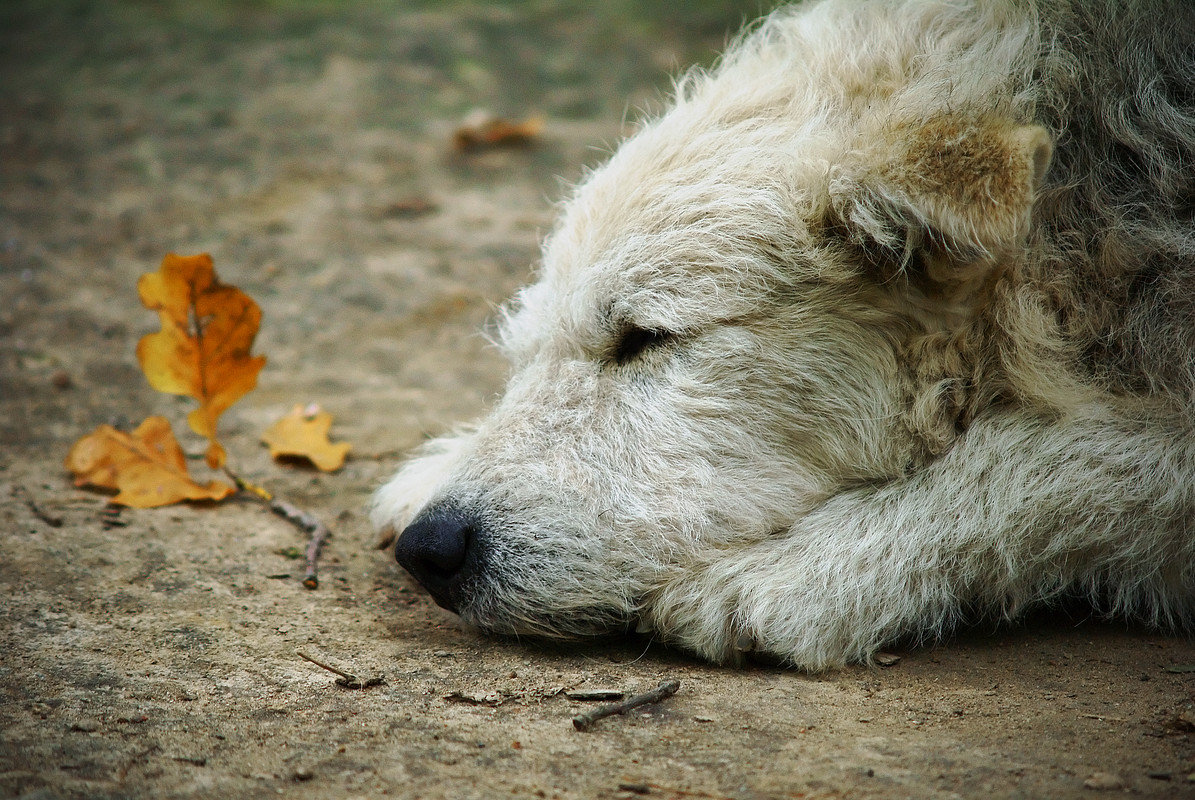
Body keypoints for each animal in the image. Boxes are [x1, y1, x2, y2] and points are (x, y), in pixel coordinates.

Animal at [372, 0, 1195, 669]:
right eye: (525, 350)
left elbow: (1063, 459)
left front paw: (804, 571)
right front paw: (440, 461)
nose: (429, 549)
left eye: (644, 338)